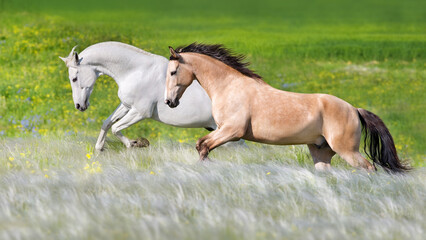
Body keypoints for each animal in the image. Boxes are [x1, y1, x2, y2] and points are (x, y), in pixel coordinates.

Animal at [59, 41, 216, 150]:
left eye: (74, 78)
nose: (79, 105)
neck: (137, 71)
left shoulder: (140, 112)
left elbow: (115, 128)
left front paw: (137, 143)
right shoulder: (127, 105)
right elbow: (107, 123)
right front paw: (100, 148)